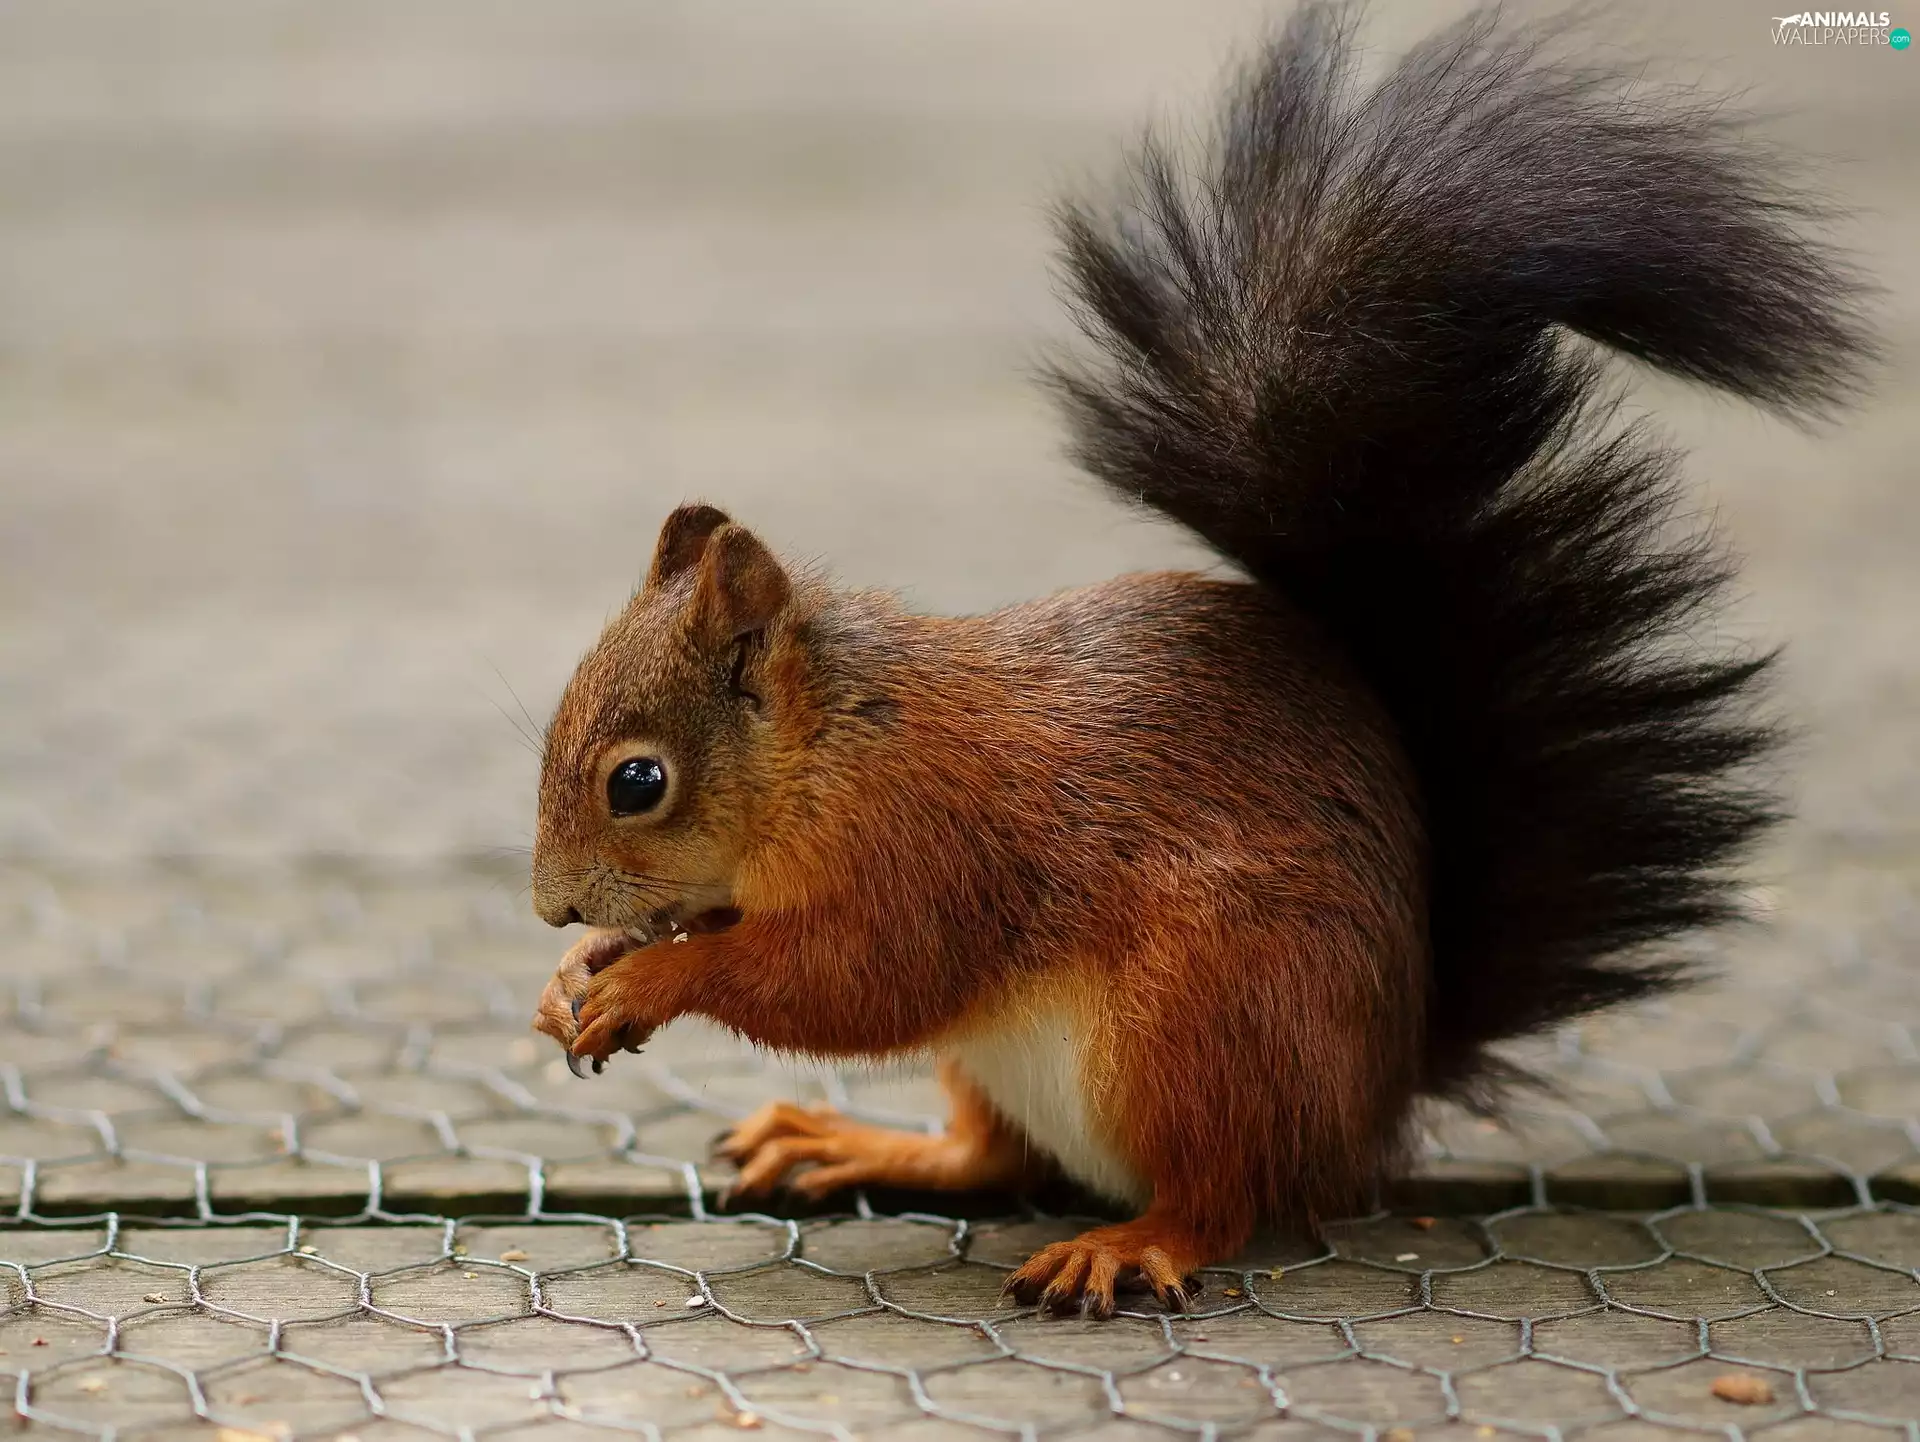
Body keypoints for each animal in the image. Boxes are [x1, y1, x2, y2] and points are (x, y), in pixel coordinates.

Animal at [528, 3, 1870, 1317]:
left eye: (637, 781)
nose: (551, 904)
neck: (837, 743)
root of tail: (1369, 1104)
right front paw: (582, 968)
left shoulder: (928, 846)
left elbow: (850, 978)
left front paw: (651, 982)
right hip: (1030, 1055)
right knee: (993, 1155)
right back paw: (861, 1142)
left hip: (1201, 1013)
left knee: (1222, 1195)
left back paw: (1132, 1242)